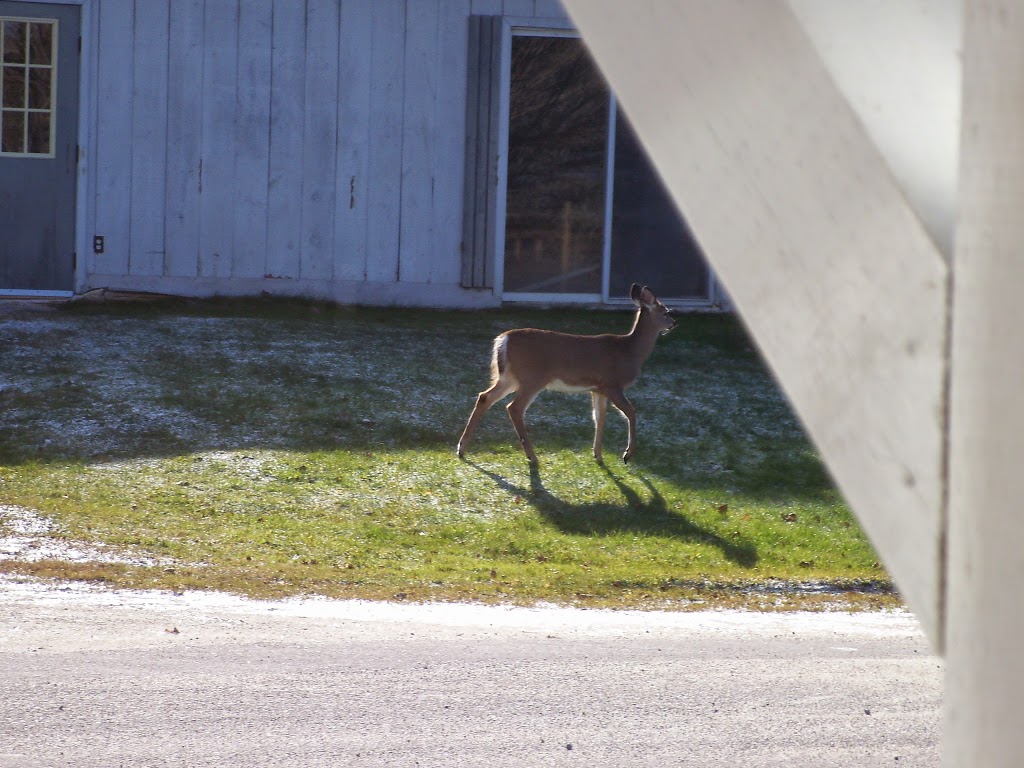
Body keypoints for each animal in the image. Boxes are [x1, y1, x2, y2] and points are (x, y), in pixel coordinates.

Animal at [456, 286, 671, 466]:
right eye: (666, 311)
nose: (674, 322)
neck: (630, 351)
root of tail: (503, 340)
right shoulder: (612, 384)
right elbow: (631, 412)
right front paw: (627, 454)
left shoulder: (597, 389)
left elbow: (599, 417)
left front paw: (598, 455)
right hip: (533, 377)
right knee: (514, 408)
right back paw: (532, 456)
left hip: (509, 377)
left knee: (485, 397)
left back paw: (461, 448)